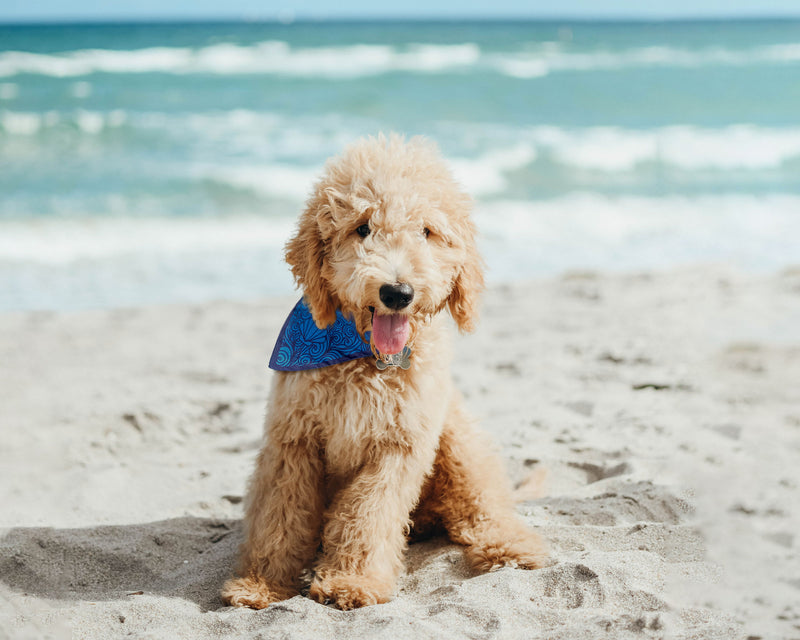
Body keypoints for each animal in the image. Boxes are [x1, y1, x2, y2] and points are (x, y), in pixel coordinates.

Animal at [225, 134, 552, 608]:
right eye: (362, 228)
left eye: (427, 232)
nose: (397, 293)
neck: (368, 359)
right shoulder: (293, 440)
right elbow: (279, 517)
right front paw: (262, 583)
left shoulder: (399, 445)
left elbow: (367, 514)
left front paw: (352, 581)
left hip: (457, 436)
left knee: (484, 506)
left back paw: (509, 546)